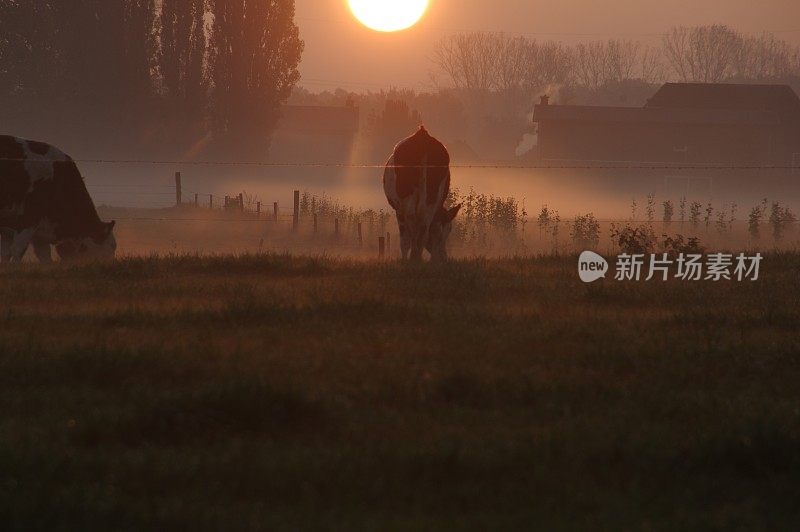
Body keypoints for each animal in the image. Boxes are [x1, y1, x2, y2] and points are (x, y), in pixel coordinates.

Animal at [382, 128, 460, 262]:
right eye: (448, 232)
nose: (444, 258)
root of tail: (422, 135)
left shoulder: (399, 210)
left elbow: (404, 240)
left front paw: (404, 260)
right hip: (432, 194)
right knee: (424, 224)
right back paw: (418, 256)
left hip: (407, 197)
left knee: (413, 223)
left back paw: (414, 257)